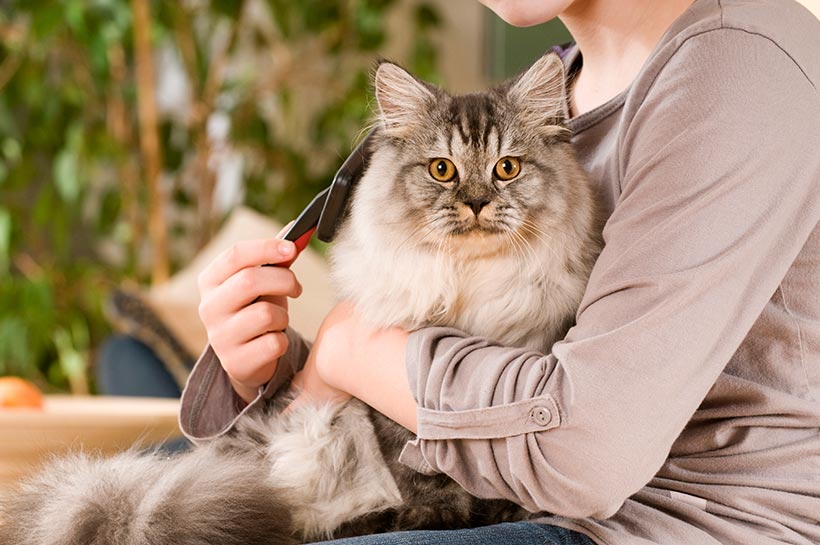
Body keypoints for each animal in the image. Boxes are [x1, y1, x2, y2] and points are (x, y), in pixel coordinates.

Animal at [0, 52, 604, 544]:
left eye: (507, 168)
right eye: (442, 170)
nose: (476, 203)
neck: (471, 284)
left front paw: (500, 510)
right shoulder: (391, 409)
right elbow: (424, 472)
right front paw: (440, 514)